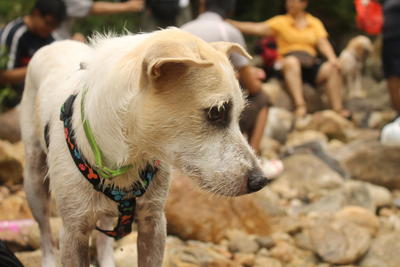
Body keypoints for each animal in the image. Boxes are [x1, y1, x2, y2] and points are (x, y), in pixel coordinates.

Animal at [18, 28, 268, 266]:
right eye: (216, 112)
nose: (260, 181)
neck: (130, 158)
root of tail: (55, 43)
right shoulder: (73, 231)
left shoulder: (153, 222)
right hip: (34, 184)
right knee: (44, 233)